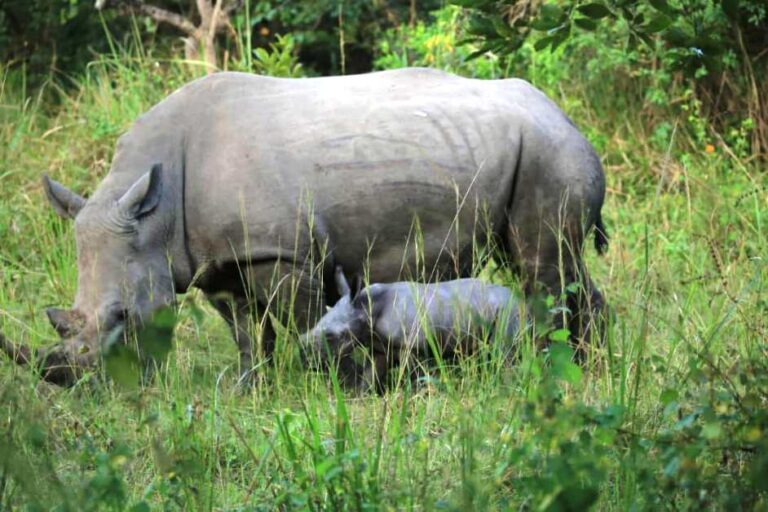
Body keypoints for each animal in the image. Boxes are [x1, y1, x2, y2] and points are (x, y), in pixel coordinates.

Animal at [300, 266, 523, 390]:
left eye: (331, 336)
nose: (308, 361)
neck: (367, 307)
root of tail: (519, 299)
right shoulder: (379, 348)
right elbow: (370, 376)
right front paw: (361, 397)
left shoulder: (413, 346)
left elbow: (417, 377)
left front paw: (418, 398)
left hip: (508, 310)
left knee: (504, 353)